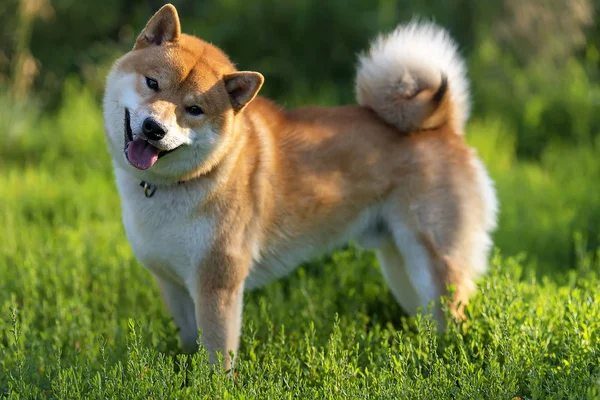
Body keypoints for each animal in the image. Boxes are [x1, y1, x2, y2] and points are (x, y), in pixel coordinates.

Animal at [102, 3, 496, 368]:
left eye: (194, 109)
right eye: (153, 83)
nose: (154, 128)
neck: (176, 185)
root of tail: (445, 127)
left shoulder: (217, 285)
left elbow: (216, 357)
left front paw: (211, 386)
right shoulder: (173, 285)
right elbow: (188, 344)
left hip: (433, 266)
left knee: (454, 319)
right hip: (401, 269)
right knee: (429, 321)